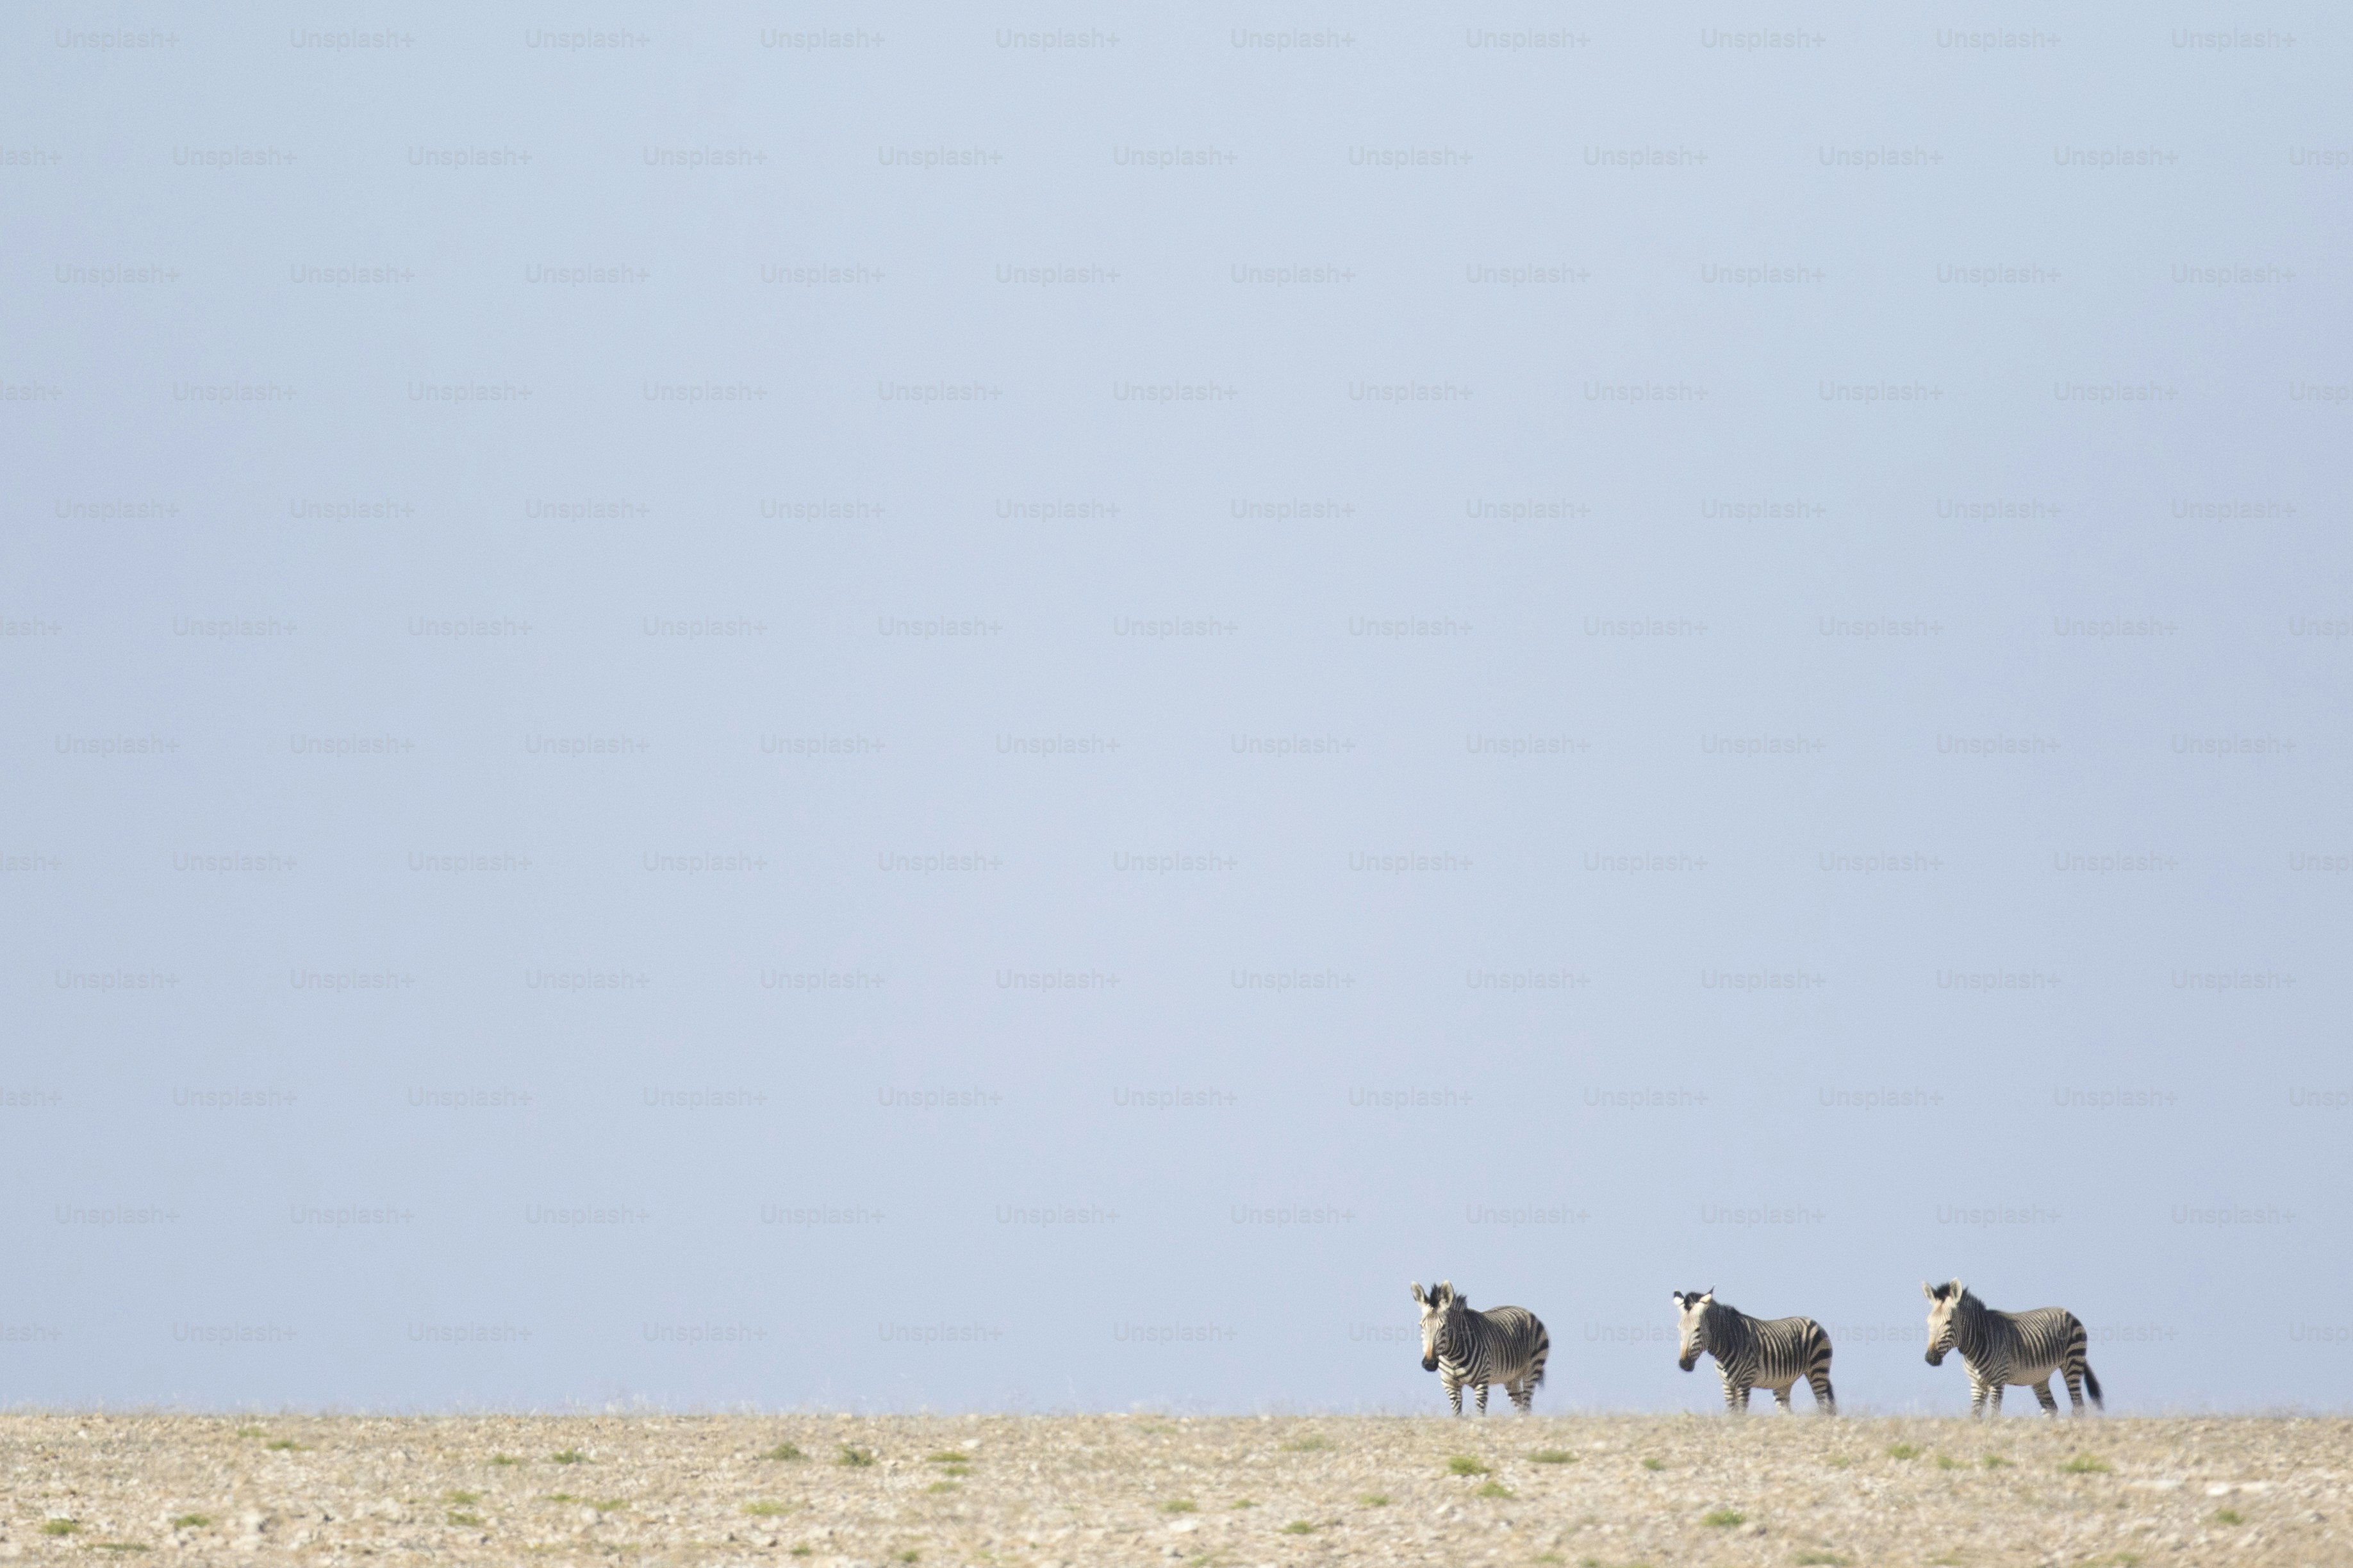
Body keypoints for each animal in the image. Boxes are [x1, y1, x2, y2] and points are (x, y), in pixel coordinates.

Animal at [1412, 1280, 1549, 1415]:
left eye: (1444, 1326)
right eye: (1421, 1326)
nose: (1429, 1364)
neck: (1452, 1358)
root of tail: (1525, 1310)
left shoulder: (1481, 1383)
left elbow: (1480, 1415)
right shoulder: (1450, 1385)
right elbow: (1457, 1416)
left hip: (1533, 1369)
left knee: (1526, 1405)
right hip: (1512, 1378)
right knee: (1521, 1407)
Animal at [1671, 1288, 1837, 1414]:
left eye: (1698, 1330)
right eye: (1679, 1330)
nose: (1684, 1364)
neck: (1726, 1346)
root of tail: (1812, 1321)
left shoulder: (1744, 1382)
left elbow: (1742, 1413)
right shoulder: (1727, 1385)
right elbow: (1732, 1414)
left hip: (1818, 1369)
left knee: (1824, 1405)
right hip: (1784, 1382)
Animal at [1923, 1279, 2103, 1417]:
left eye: (1949, 1323)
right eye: (1929, 1322)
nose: (1931, 1358)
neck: (1974, 1348)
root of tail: (2068, 1312)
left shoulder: (1997, 1381)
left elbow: (1994, 1415)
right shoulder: (1977, 1384)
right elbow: (1975, 1417)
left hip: (2073, 1362)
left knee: (2078, 1406)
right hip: (2040, 1377)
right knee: (2051, 1409)